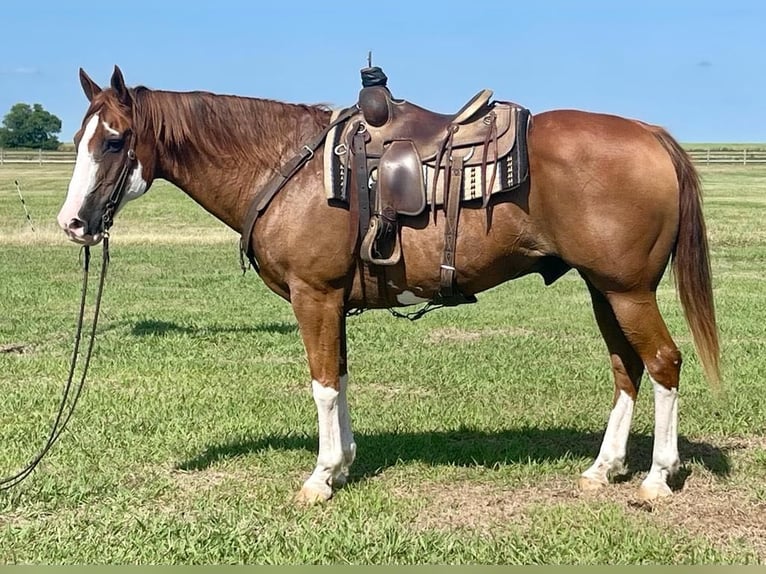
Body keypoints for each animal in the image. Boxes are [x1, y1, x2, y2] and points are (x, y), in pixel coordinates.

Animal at [58, 66, 720, 504]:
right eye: (78, 140)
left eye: (113, 141)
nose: (72, 224)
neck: (284, 166)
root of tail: (650, 133)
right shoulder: (333, 301)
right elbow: (341, 380)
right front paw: (344, 465)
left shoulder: (314, 296)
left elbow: (323, 386)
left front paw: (320, 478)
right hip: (602, 288)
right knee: (626, 368)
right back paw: (604, 468)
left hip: (627, 290)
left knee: (663, 362)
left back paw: (658, 477)